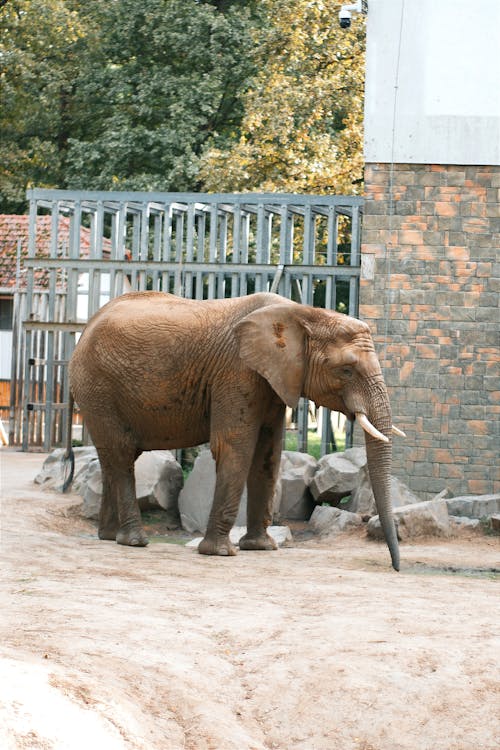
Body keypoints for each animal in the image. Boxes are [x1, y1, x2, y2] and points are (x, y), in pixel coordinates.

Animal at [66, 290, 400, 572]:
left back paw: (110, 536)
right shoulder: (237, 371)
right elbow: (234, 446)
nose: (395, 568)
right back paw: (135, 541)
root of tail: (86, 326)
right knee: (121, 455)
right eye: (346, 370)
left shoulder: (272, 379)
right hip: (97, 387)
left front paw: (261, 547)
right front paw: (220, 553)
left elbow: (269, 453)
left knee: (114, 458)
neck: (303, 313)